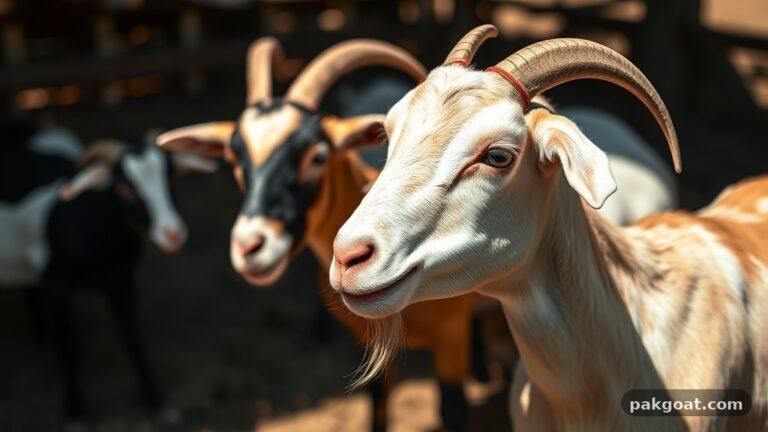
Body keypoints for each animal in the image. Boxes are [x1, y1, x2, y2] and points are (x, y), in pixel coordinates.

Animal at [0, 124, 216, 430]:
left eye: (171, 179)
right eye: (124, 187)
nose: (173, 234)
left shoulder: (121, 280)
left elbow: (134, 340)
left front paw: (158, 405)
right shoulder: (57, 286)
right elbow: (71, 350)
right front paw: (75, 413)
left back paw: (42, 338)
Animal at [156, 37, 479, 431]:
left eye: (318, 156)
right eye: (234, 160)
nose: (250, 246)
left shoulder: (451, 337)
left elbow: (454, 411)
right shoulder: (371, 345)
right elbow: (378, 406)